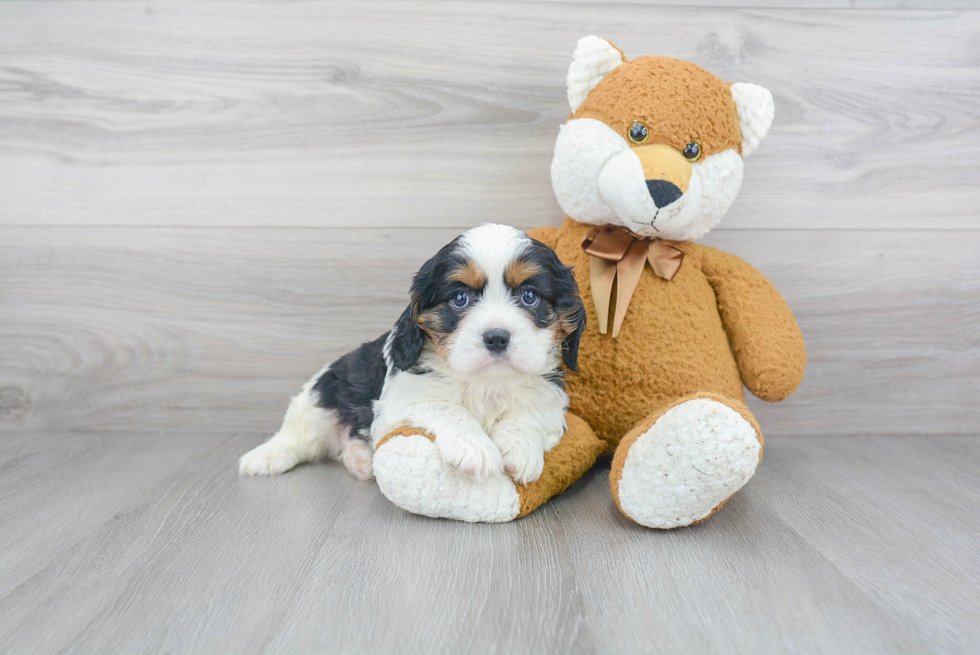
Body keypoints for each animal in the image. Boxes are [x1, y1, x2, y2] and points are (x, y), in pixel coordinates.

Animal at [238, 226, 584, 486]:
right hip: (324, 391)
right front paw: (474, 446)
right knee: (299, 435)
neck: (485, 381)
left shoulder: (550, 401)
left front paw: (519, 450)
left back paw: (360, 458)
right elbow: (446, 408)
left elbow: (528, 414)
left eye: (530, 296)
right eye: (460, 298)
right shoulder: (398, 401)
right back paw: (266, 456)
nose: (496, 337)